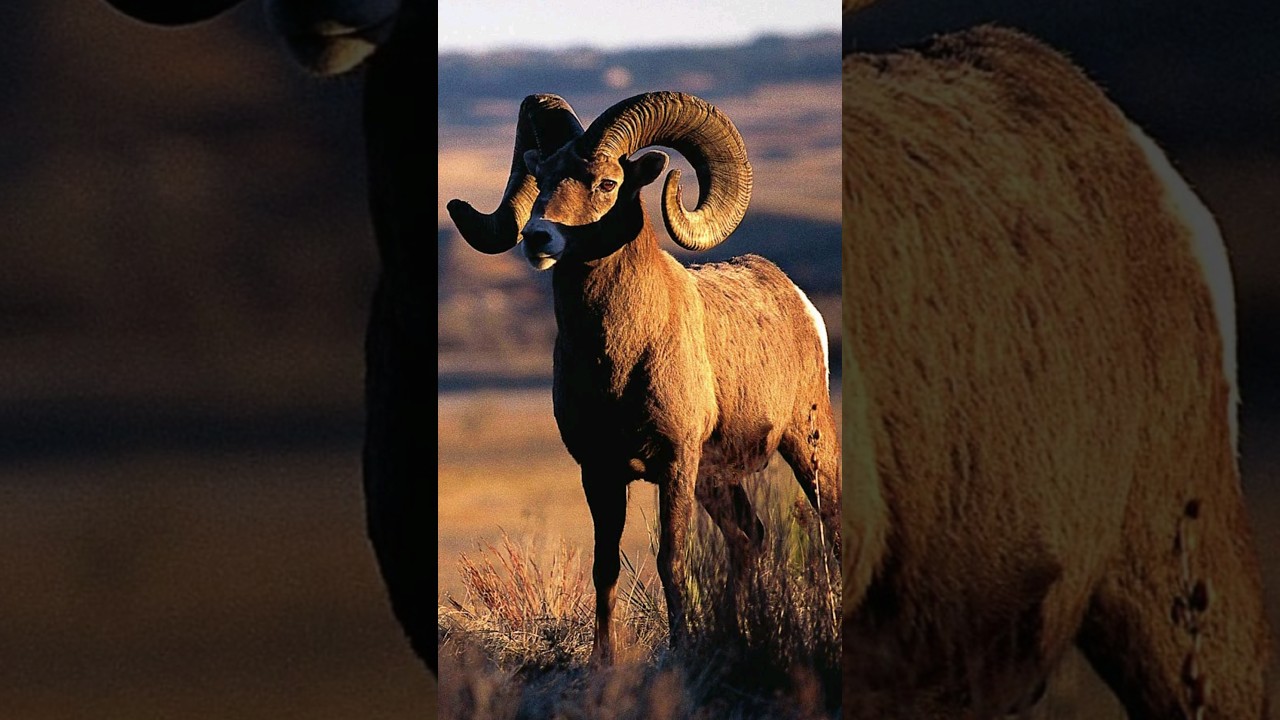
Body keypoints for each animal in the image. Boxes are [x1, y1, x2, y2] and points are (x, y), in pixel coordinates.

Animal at [447, 91, 843, 664]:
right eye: (541, 178)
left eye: (607, 184)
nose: (537, 237)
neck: (617, 358)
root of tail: (797, 300)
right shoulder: (599, 472)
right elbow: (605, 567)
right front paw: (602, 662)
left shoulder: (674, 465)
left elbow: (671, 562)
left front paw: (681, 650)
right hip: (716, 480)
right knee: (748, 537)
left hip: (808, 447)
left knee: (830, 529)